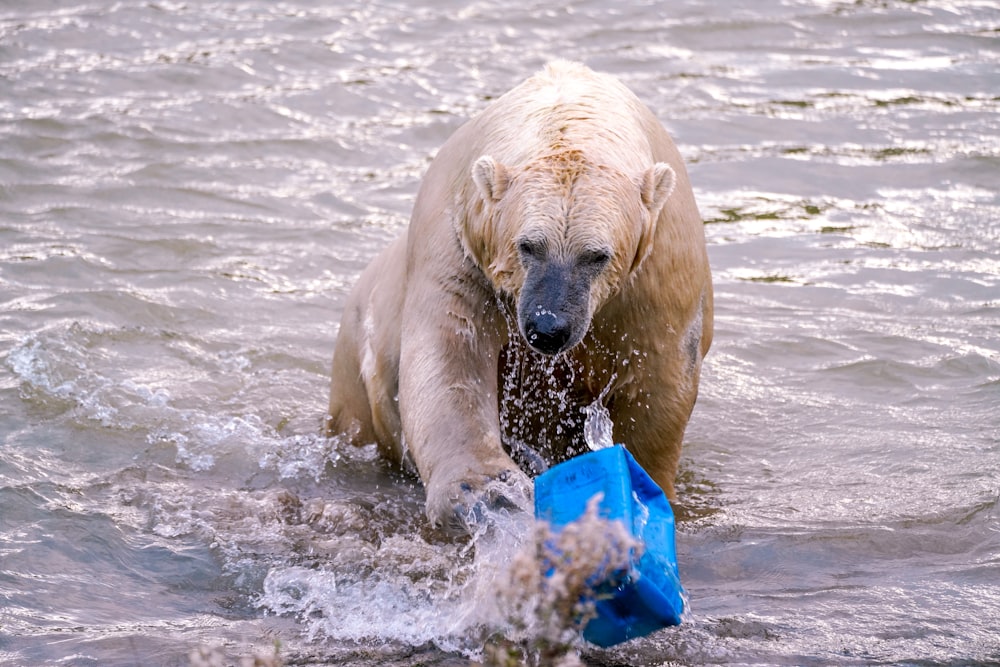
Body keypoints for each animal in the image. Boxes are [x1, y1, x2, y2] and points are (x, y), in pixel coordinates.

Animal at [326, 60, 712, 536]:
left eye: (596, 255)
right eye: (528, 246)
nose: (548, 328)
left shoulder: (661, 269)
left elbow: (659, 377)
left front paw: (640, 487)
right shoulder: (459, 239)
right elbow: (452, 352)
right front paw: (489, 489)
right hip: (355, 371)